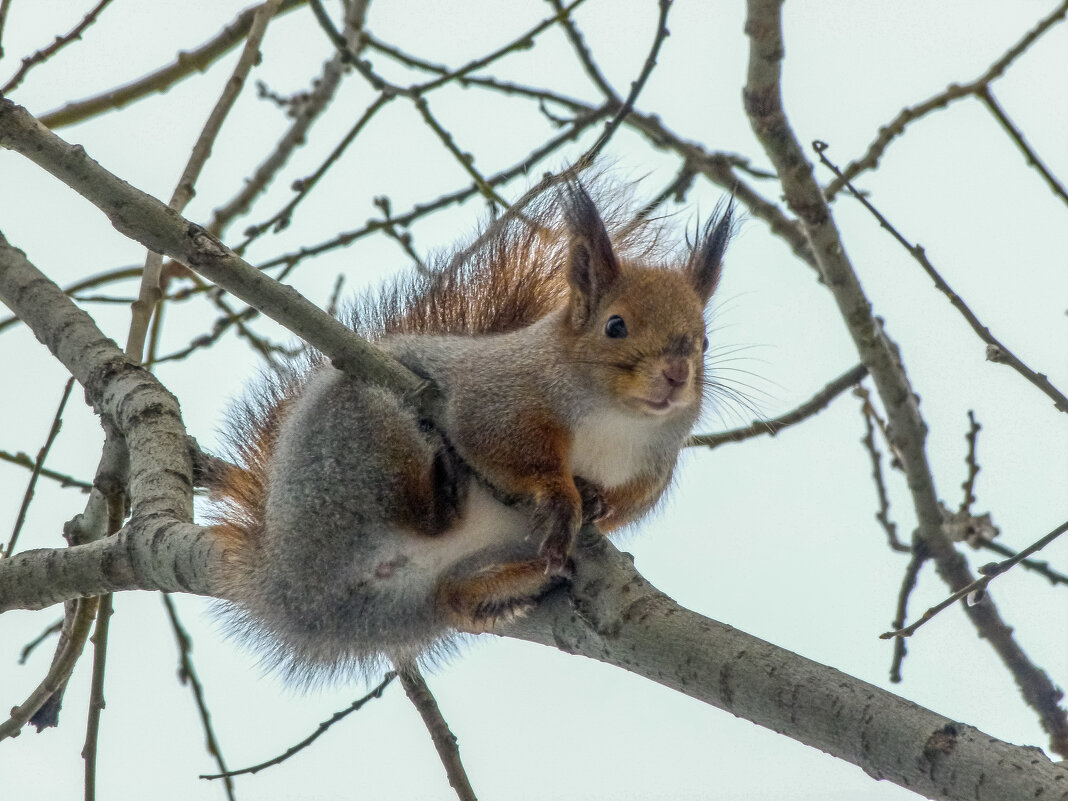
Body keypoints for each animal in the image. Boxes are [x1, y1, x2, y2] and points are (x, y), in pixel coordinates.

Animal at [205, 181, 730, 683]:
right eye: (615, 325)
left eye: (705, 340)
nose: (676, 373)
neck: (618, 425)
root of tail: (287, 588)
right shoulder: (495, 399)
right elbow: (507, 450)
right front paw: (562, 496)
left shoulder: (648, 475)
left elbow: (622, 504)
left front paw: (595, 500)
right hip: (359, 441)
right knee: (418, 501)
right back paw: (446, 488)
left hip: (461, 574)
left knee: (457, 601)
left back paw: (528, 583)